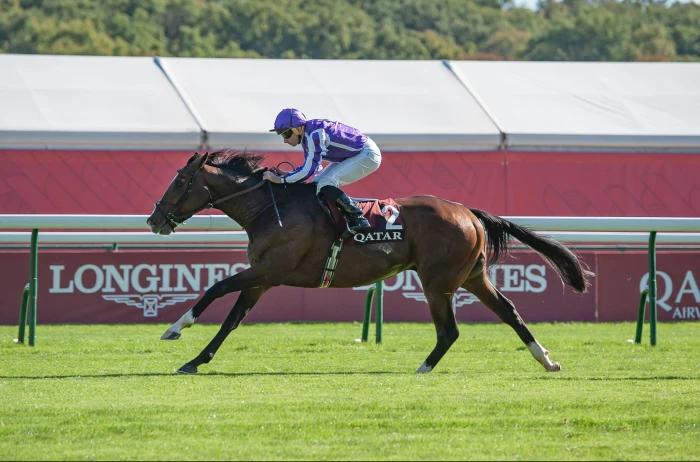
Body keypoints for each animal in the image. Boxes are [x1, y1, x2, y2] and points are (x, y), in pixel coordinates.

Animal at [148, 150, 592, 374]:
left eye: (180, 181)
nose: (154, 220)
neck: (271, 208)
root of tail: (468, 211)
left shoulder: (271, 269)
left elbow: (216, 288)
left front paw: (175, 328)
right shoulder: (263, 277)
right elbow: (232, 319)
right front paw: (195, 361)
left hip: (437, 281)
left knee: (449, 330)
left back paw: (423, 367)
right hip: (472, 276)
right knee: (509, 311)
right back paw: (546, 359)